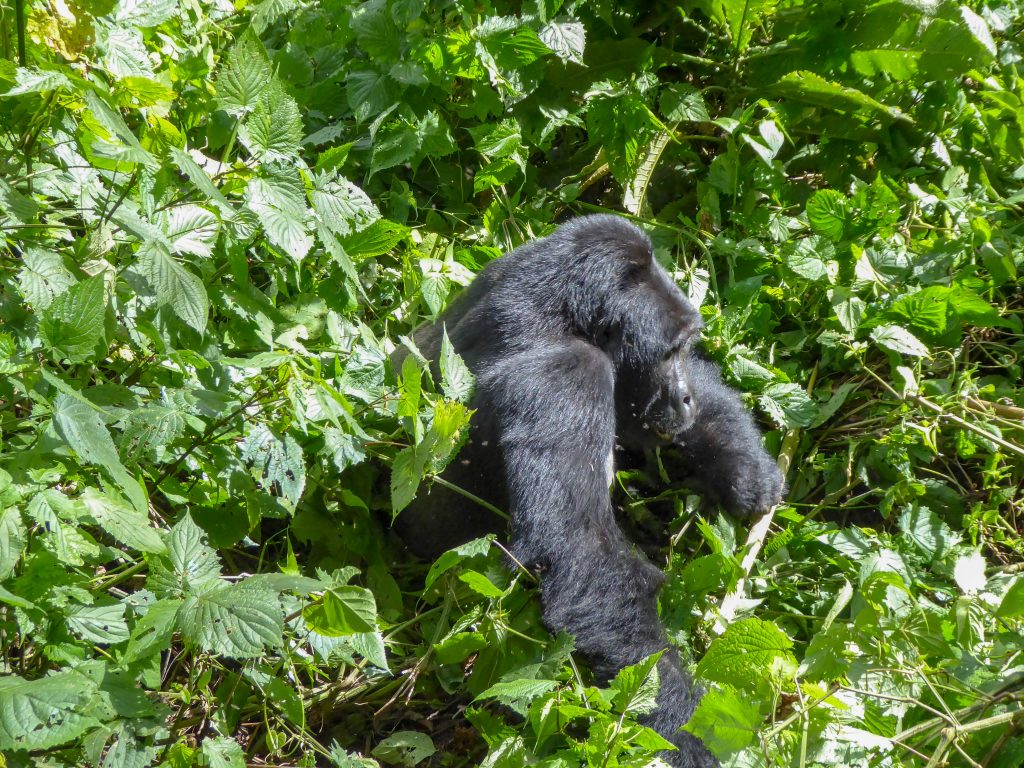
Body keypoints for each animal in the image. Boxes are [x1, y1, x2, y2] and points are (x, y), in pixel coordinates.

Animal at [395, 214, 778, 765]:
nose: (685, 397)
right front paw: (692, 727)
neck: (558, 310)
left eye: (686, 348)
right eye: (670, 352)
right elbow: (583, 555)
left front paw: (743, 465)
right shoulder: (567, 376)